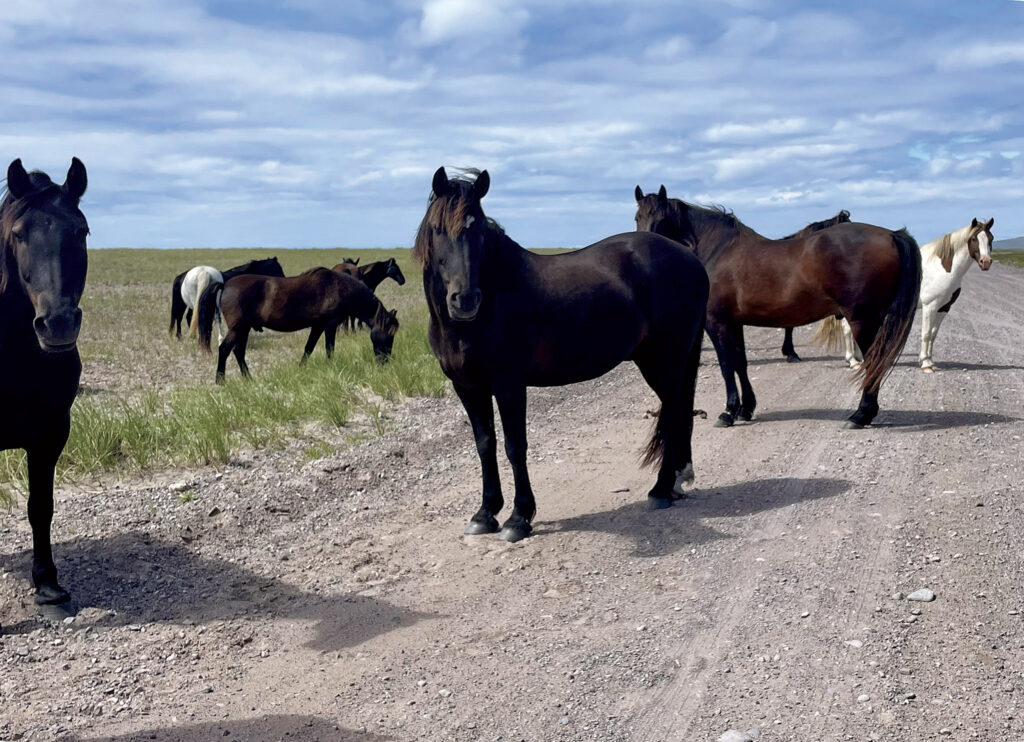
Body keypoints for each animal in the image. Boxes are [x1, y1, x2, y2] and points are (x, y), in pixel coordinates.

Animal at [199, 268, 399, 383]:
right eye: (390, 335)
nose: (385, 361)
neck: (340, 288)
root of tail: (225, 284)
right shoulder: (330, 325)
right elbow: (329, 348)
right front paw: (331, 367)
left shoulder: (318, 326)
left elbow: (308, 348)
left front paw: (301, 369)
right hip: (238, 328)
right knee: (225, 349)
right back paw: (220, 381)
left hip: (244, 328)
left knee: (238, 351)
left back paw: (248, 379)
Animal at [417, 168, 709, 541]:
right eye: (437, 228)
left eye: (478, 228)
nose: (465, 300)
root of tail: (691, 259)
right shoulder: (467, 387)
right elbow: (485, 444)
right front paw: (485, 513)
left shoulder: (509, 385)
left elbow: (515, 446)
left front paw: (518, 517)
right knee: (681, 408)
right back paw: (677, 480)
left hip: (665, 360)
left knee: (674, 410)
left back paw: (660, 490)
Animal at [815, 218, 994, 372]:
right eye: (973, 239)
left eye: (991, 238)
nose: (986, 262)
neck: (942, 268)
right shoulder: (930, 306)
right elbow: (926, 334)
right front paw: (926, 365)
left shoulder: (944, 307)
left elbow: (933, 335)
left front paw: (930, 361)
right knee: (847, 330)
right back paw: (853, 362)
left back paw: (861, 359)